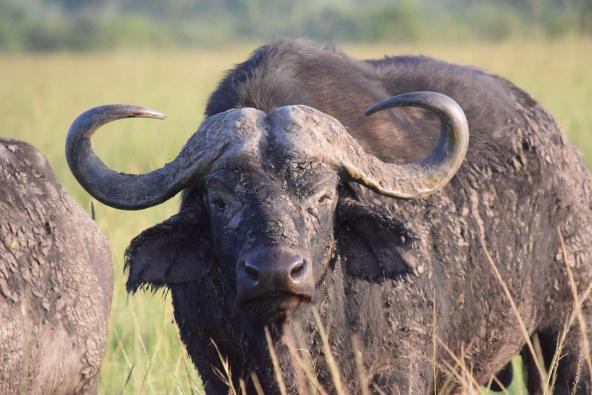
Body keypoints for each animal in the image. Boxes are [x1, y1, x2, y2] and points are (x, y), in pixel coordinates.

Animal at [66, 39, 592, 392]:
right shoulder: (217, 372)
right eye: (220, 199)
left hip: (569, 331)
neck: (289, 342)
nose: (276, 271)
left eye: (322, 196)